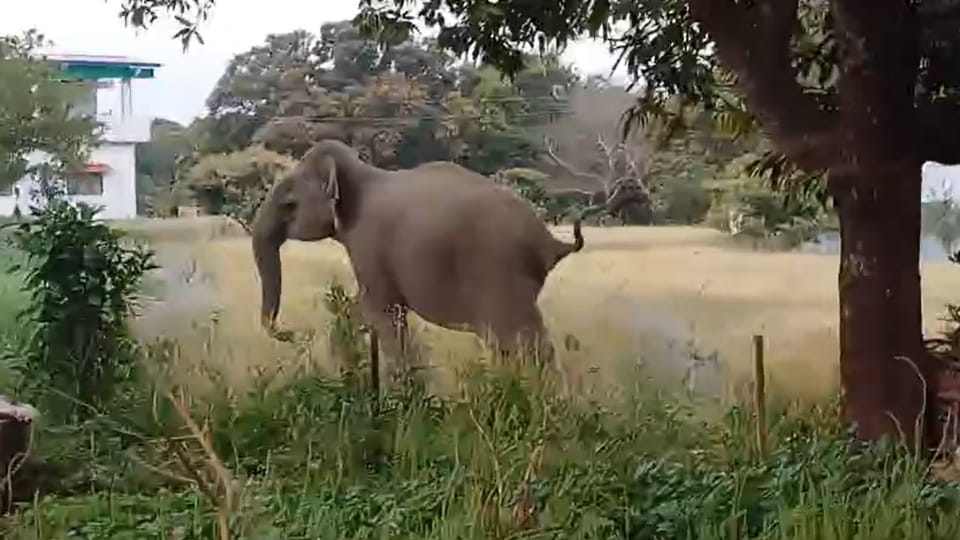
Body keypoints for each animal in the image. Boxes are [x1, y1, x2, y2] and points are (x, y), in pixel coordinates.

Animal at [251, 139, 585, 367]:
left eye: (289, 205)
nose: (293, 333)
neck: (362, 171)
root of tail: (550, 240)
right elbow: (362, 307)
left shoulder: (368, 244)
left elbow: (383, 312)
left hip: (501, 271)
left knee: (522, 342)